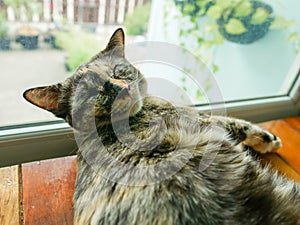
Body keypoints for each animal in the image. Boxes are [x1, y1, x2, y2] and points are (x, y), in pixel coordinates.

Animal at [23, 28, 300, 225]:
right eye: (92, 91)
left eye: (118, 71)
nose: (120, 88)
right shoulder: (202, 119)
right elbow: (239, 123)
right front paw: (268, 139)